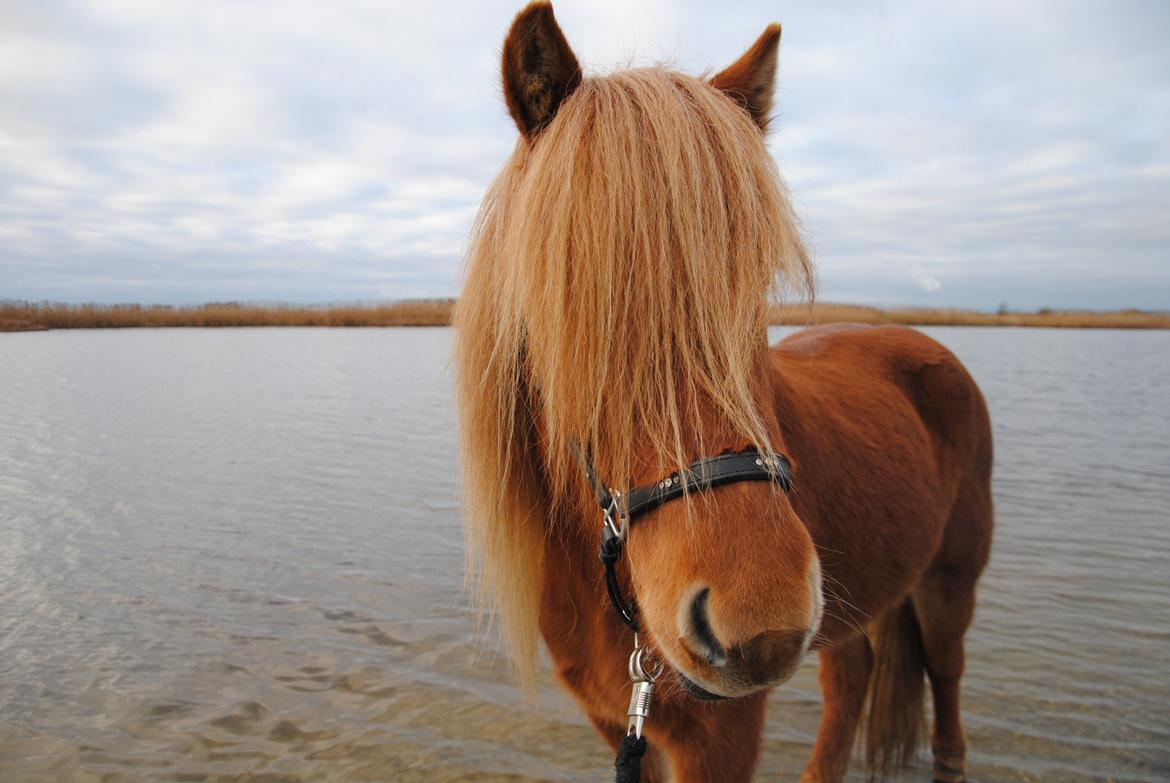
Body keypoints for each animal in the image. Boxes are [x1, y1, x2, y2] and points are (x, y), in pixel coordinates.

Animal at [451, 3, 992, 777]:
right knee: (851, 677)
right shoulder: (619, 722)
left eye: (755, 288)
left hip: (949, 581)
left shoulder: (719, 738)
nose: (759, 623)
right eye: (570, 296)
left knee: (945, 677)